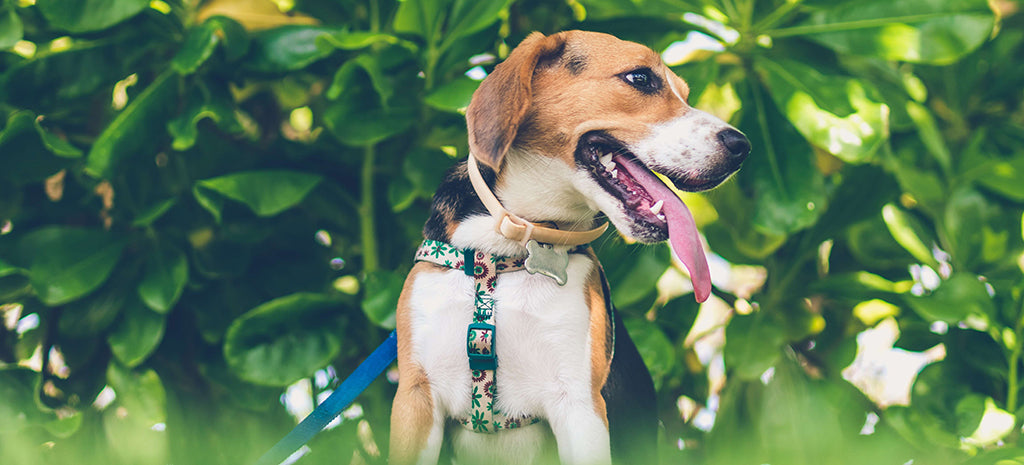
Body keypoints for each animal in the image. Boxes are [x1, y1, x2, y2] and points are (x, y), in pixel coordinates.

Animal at [387, 30, 749, 462]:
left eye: (684, 93)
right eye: (641, 78)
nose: (742, 145)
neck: (507, 252)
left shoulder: (580, 406)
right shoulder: (415, 398)